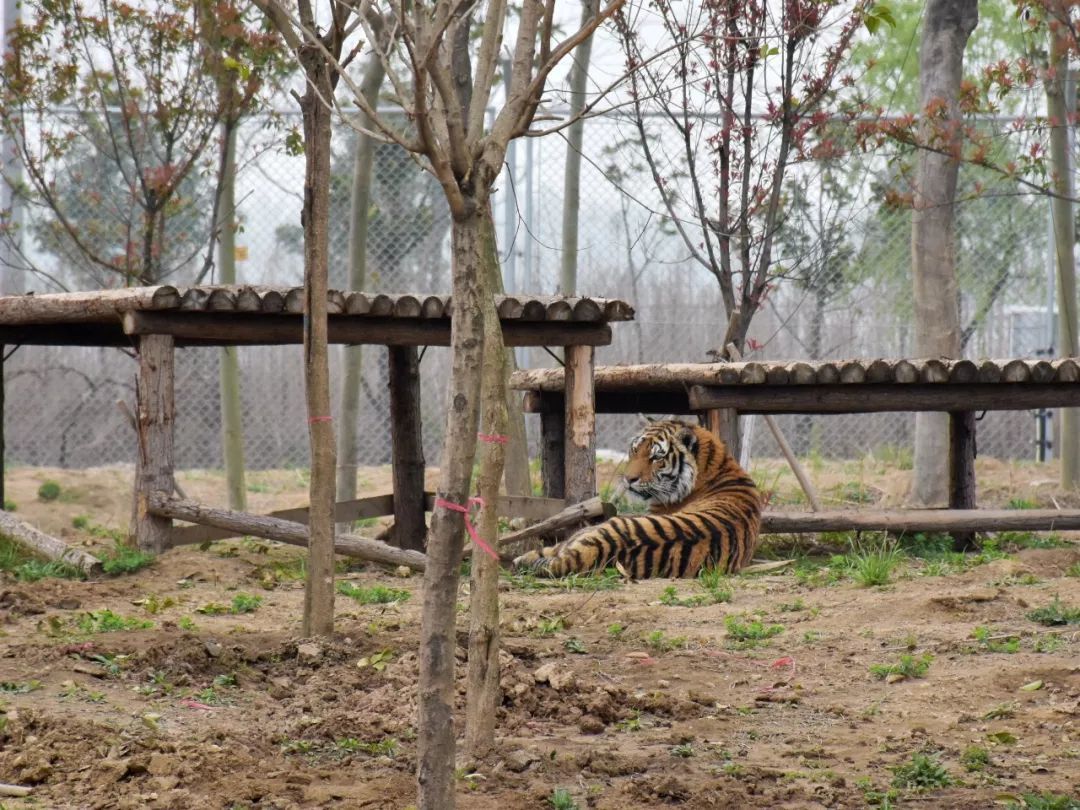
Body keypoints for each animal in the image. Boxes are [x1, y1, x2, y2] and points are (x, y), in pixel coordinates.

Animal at [511, 421, 760, 578]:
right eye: (634, 451)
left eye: (656, 457)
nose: (629, 479)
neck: (716, 468)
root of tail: (601, 547)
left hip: (593, 530)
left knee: (545, 552)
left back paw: (518, 560)